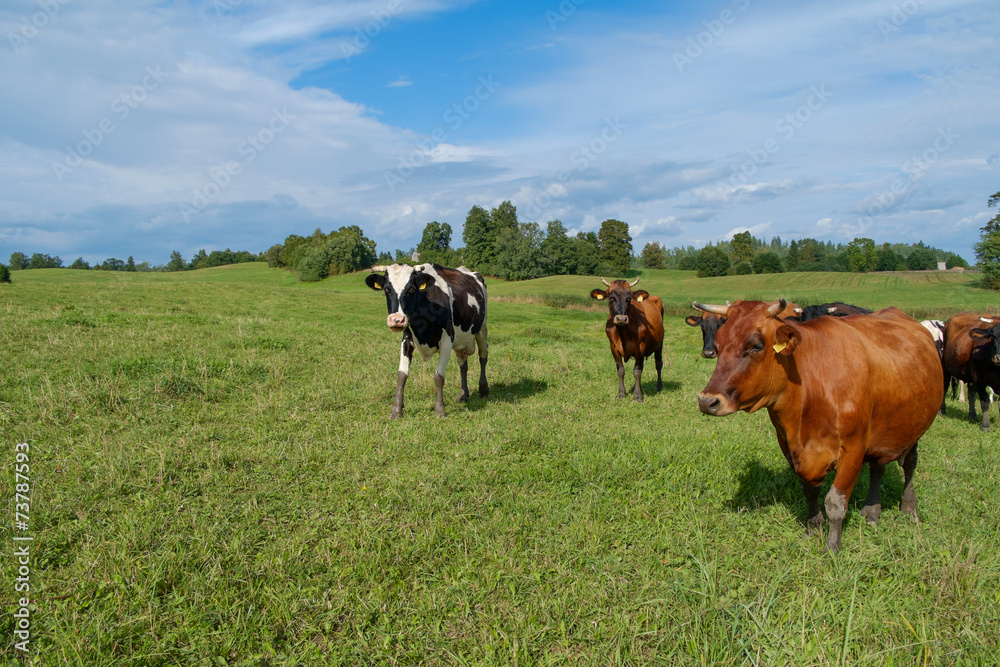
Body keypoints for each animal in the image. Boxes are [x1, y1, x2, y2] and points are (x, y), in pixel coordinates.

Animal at [368, 264, 492, 420]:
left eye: (411, 289)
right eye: (386, 289)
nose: (397, 320)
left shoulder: (447, 340)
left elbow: (439, 376)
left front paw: (440, 410)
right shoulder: (407, 338)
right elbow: (402, 374)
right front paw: (396, 410)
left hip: (482, 328)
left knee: (483, 357)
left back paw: (483, 390)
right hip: (461, 340)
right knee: (463, 365)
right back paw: (463, 395)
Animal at [696, 302, 944, 552]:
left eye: (756, 346)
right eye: (719, 344)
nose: (707, 401)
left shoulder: (853, 450)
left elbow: (835, 502)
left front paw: (832, 547)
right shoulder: (790, 447)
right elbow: (810, 491)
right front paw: (814, 528)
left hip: (913, 428)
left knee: (909, 464)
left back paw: (909, 508)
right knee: (878, 466)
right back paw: (871, 511)